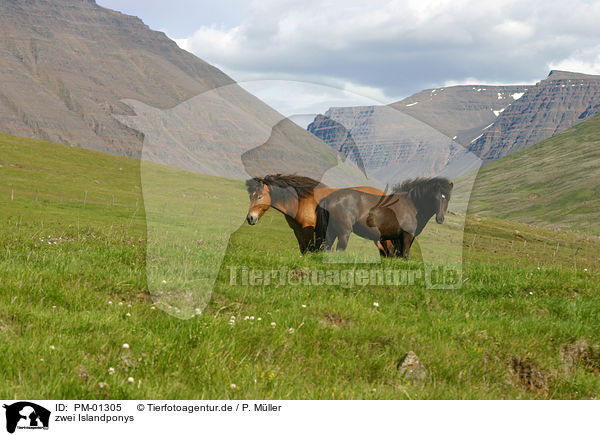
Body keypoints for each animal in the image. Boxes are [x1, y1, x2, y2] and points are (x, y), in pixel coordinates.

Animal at [244, 174, 394, 255]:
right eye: (251, 196)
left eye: (259, 197)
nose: (250, 218)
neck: (300, 200)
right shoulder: (298, 230)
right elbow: (303, 249)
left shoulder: (309, 229)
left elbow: (309, 249)